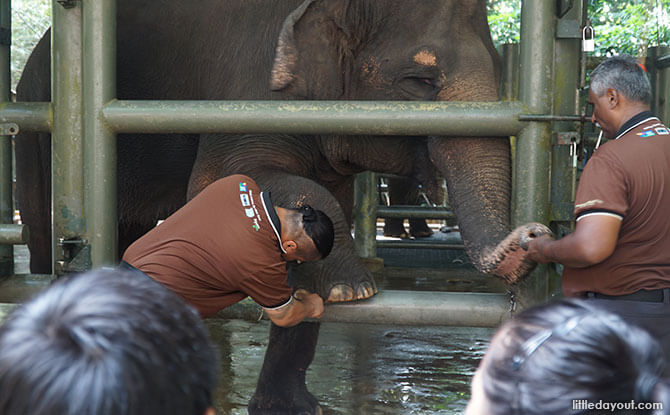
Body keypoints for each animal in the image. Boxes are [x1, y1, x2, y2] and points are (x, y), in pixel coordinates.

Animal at [17, 1, 552, 414]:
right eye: (420, 79)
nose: (535, 235)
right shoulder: (243, 92)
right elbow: (218, 182)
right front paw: (356, 288)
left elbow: (326, 205)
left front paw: (295, 403)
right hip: (40, 121)